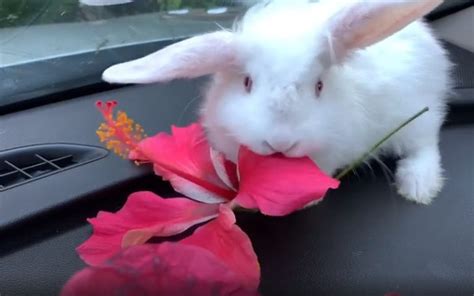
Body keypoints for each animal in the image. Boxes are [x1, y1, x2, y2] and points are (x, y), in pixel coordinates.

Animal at [103, 0, 452, 205]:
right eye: (247, 83)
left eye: (319, 86)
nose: (280, 143)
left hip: (419, 116)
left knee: (426, 145)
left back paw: (418, 187)